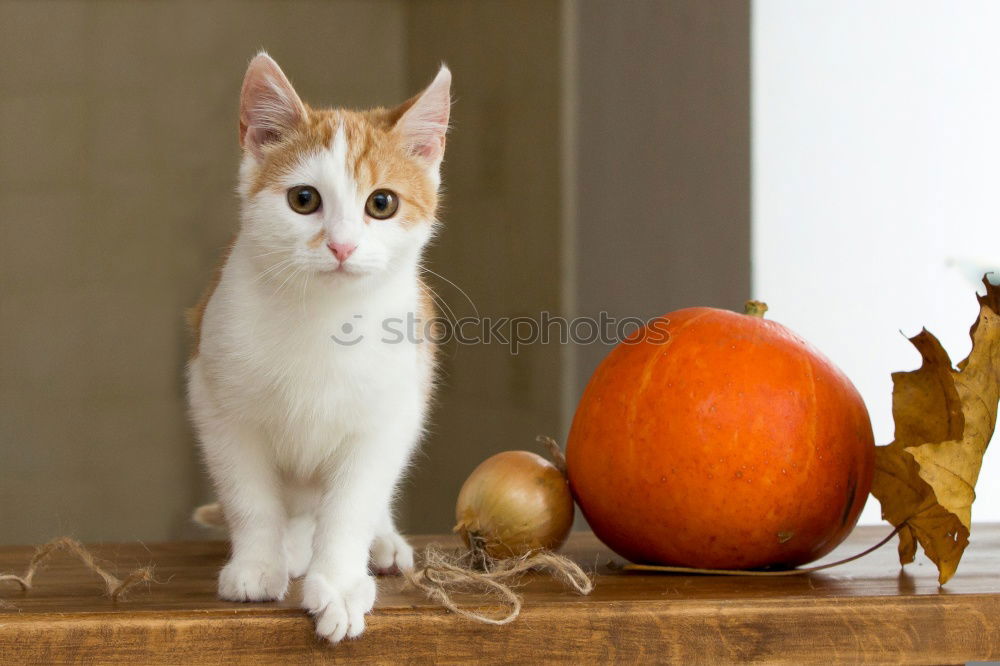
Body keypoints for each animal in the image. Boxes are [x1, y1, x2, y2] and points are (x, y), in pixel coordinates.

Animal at [187, 54, 450, 640]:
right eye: (303, 200)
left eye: (382, 203)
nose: (341, 246)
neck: (324, 319)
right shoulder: (216, 401)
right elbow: (249, 495)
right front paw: (257, 563)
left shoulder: (389, 413)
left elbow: (352, 504)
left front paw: (341, 584)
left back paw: (380, 540)